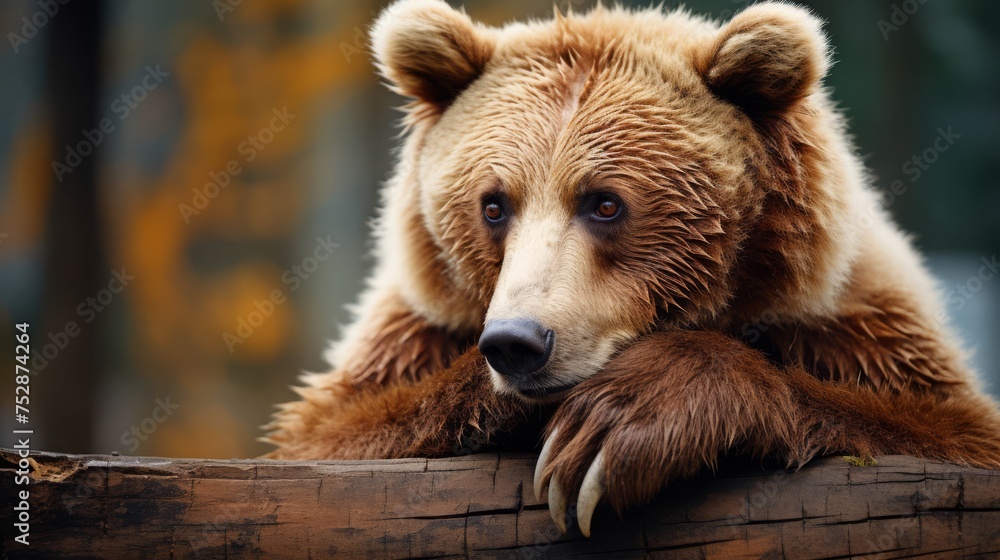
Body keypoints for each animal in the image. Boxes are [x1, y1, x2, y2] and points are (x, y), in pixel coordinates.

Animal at [264, 0, 1000, 537]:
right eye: (493, 204)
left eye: (605, 202)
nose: (518, 342)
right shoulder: (410, 335)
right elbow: (329, 435)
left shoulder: (858, 328)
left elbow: (945, 431)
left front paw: (614, 426)